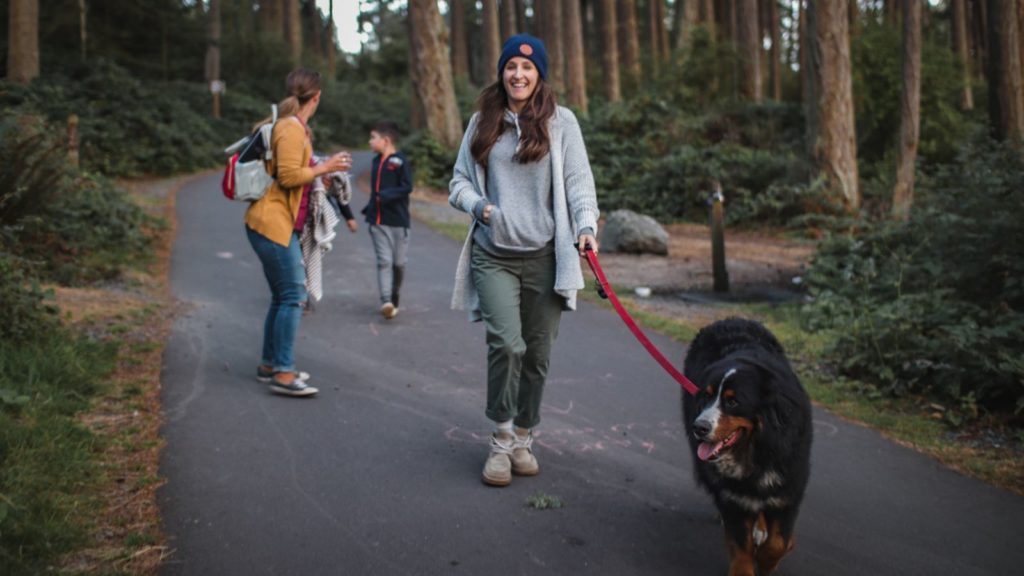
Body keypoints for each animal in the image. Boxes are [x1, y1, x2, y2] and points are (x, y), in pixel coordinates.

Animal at [684, 315, 811, 573]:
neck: (755, 450)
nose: (699, 428)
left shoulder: (788, 489)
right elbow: (741, 548)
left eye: (733, 402)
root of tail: (731, 318)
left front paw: (766, 558)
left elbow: (778, 543)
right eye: (706, 396)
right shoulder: (732, 497)